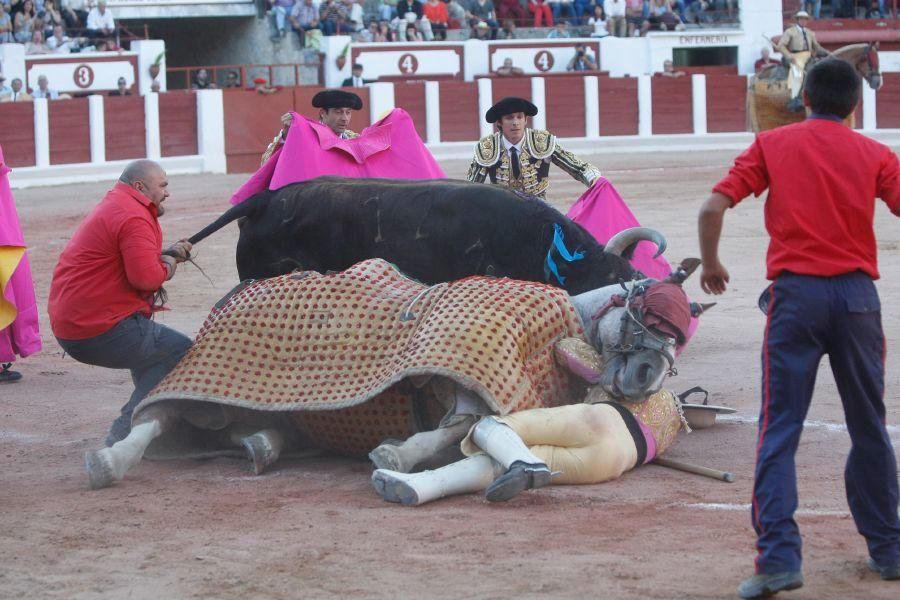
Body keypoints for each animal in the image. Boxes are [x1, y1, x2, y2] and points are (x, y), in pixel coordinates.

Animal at [84, 258, 708, 492]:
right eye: (649, 306)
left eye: (680, 334)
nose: (649, 373)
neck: (558, 330)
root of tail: (236, 293)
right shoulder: (464, 376)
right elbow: (455, 423)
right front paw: (394, 455)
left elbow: (459, 431)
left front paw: (396, 454)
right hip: (212, 380)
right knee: (159, 416)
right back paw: (108, 462)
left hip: (257, 407)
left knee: (250, 428)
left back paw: (262, 446)